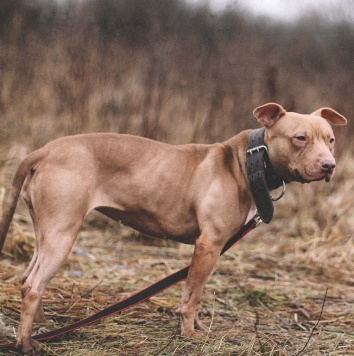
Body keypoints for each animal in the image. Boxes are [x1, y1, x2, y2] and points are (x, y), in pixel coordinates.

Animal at [0, 103, 348, 354]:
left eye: (330, 140)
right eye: (300, 138)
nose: (329, 165)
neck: (251, 161)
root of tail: (44, 150)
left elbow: (194, 292)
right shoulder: (209, 244)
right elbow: (191, 296)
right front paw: (190, 334)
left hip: (47, 232)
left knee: (29, 277)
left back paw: (42, 325)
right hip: (62, 234)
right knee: (33, 285)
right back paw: (25, 344)